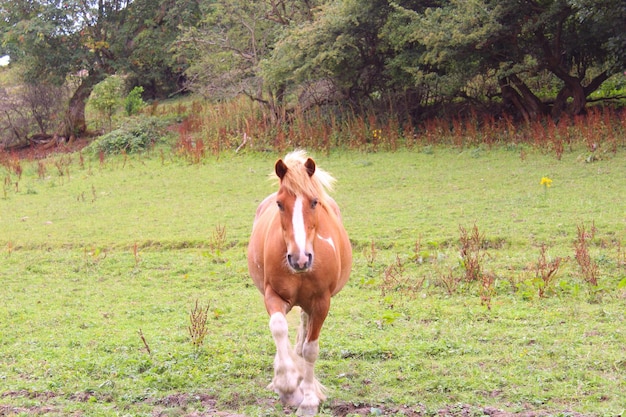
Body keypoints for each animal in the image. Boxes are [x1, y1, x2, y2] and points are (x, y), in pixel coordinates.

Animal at [246, 149, 352, 412]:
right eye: (280, 204)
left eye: (314, 201)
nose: (299, 258)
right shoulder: (273, 295)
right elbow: (278, 327)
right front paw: (287, 387)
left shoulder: (322, 302)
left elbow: (310, 349)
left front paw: (309, 399)